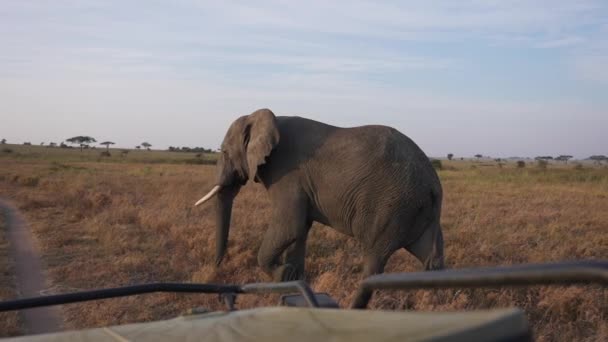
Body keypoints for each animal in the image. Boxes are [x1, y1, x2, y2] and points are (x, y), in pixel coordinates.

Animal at [196, 107, 446, 288]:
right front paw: (291, 280)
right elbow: (300, 229)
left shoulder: (287, 173)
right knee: (431, 257)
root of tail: (433, 184)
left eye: (224, 152)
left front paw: (281, 275)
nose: (218, 269)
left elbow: (290, 225)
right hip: (418, 209)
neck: (260, 116)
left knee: (374, 258)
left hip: (392, 206)